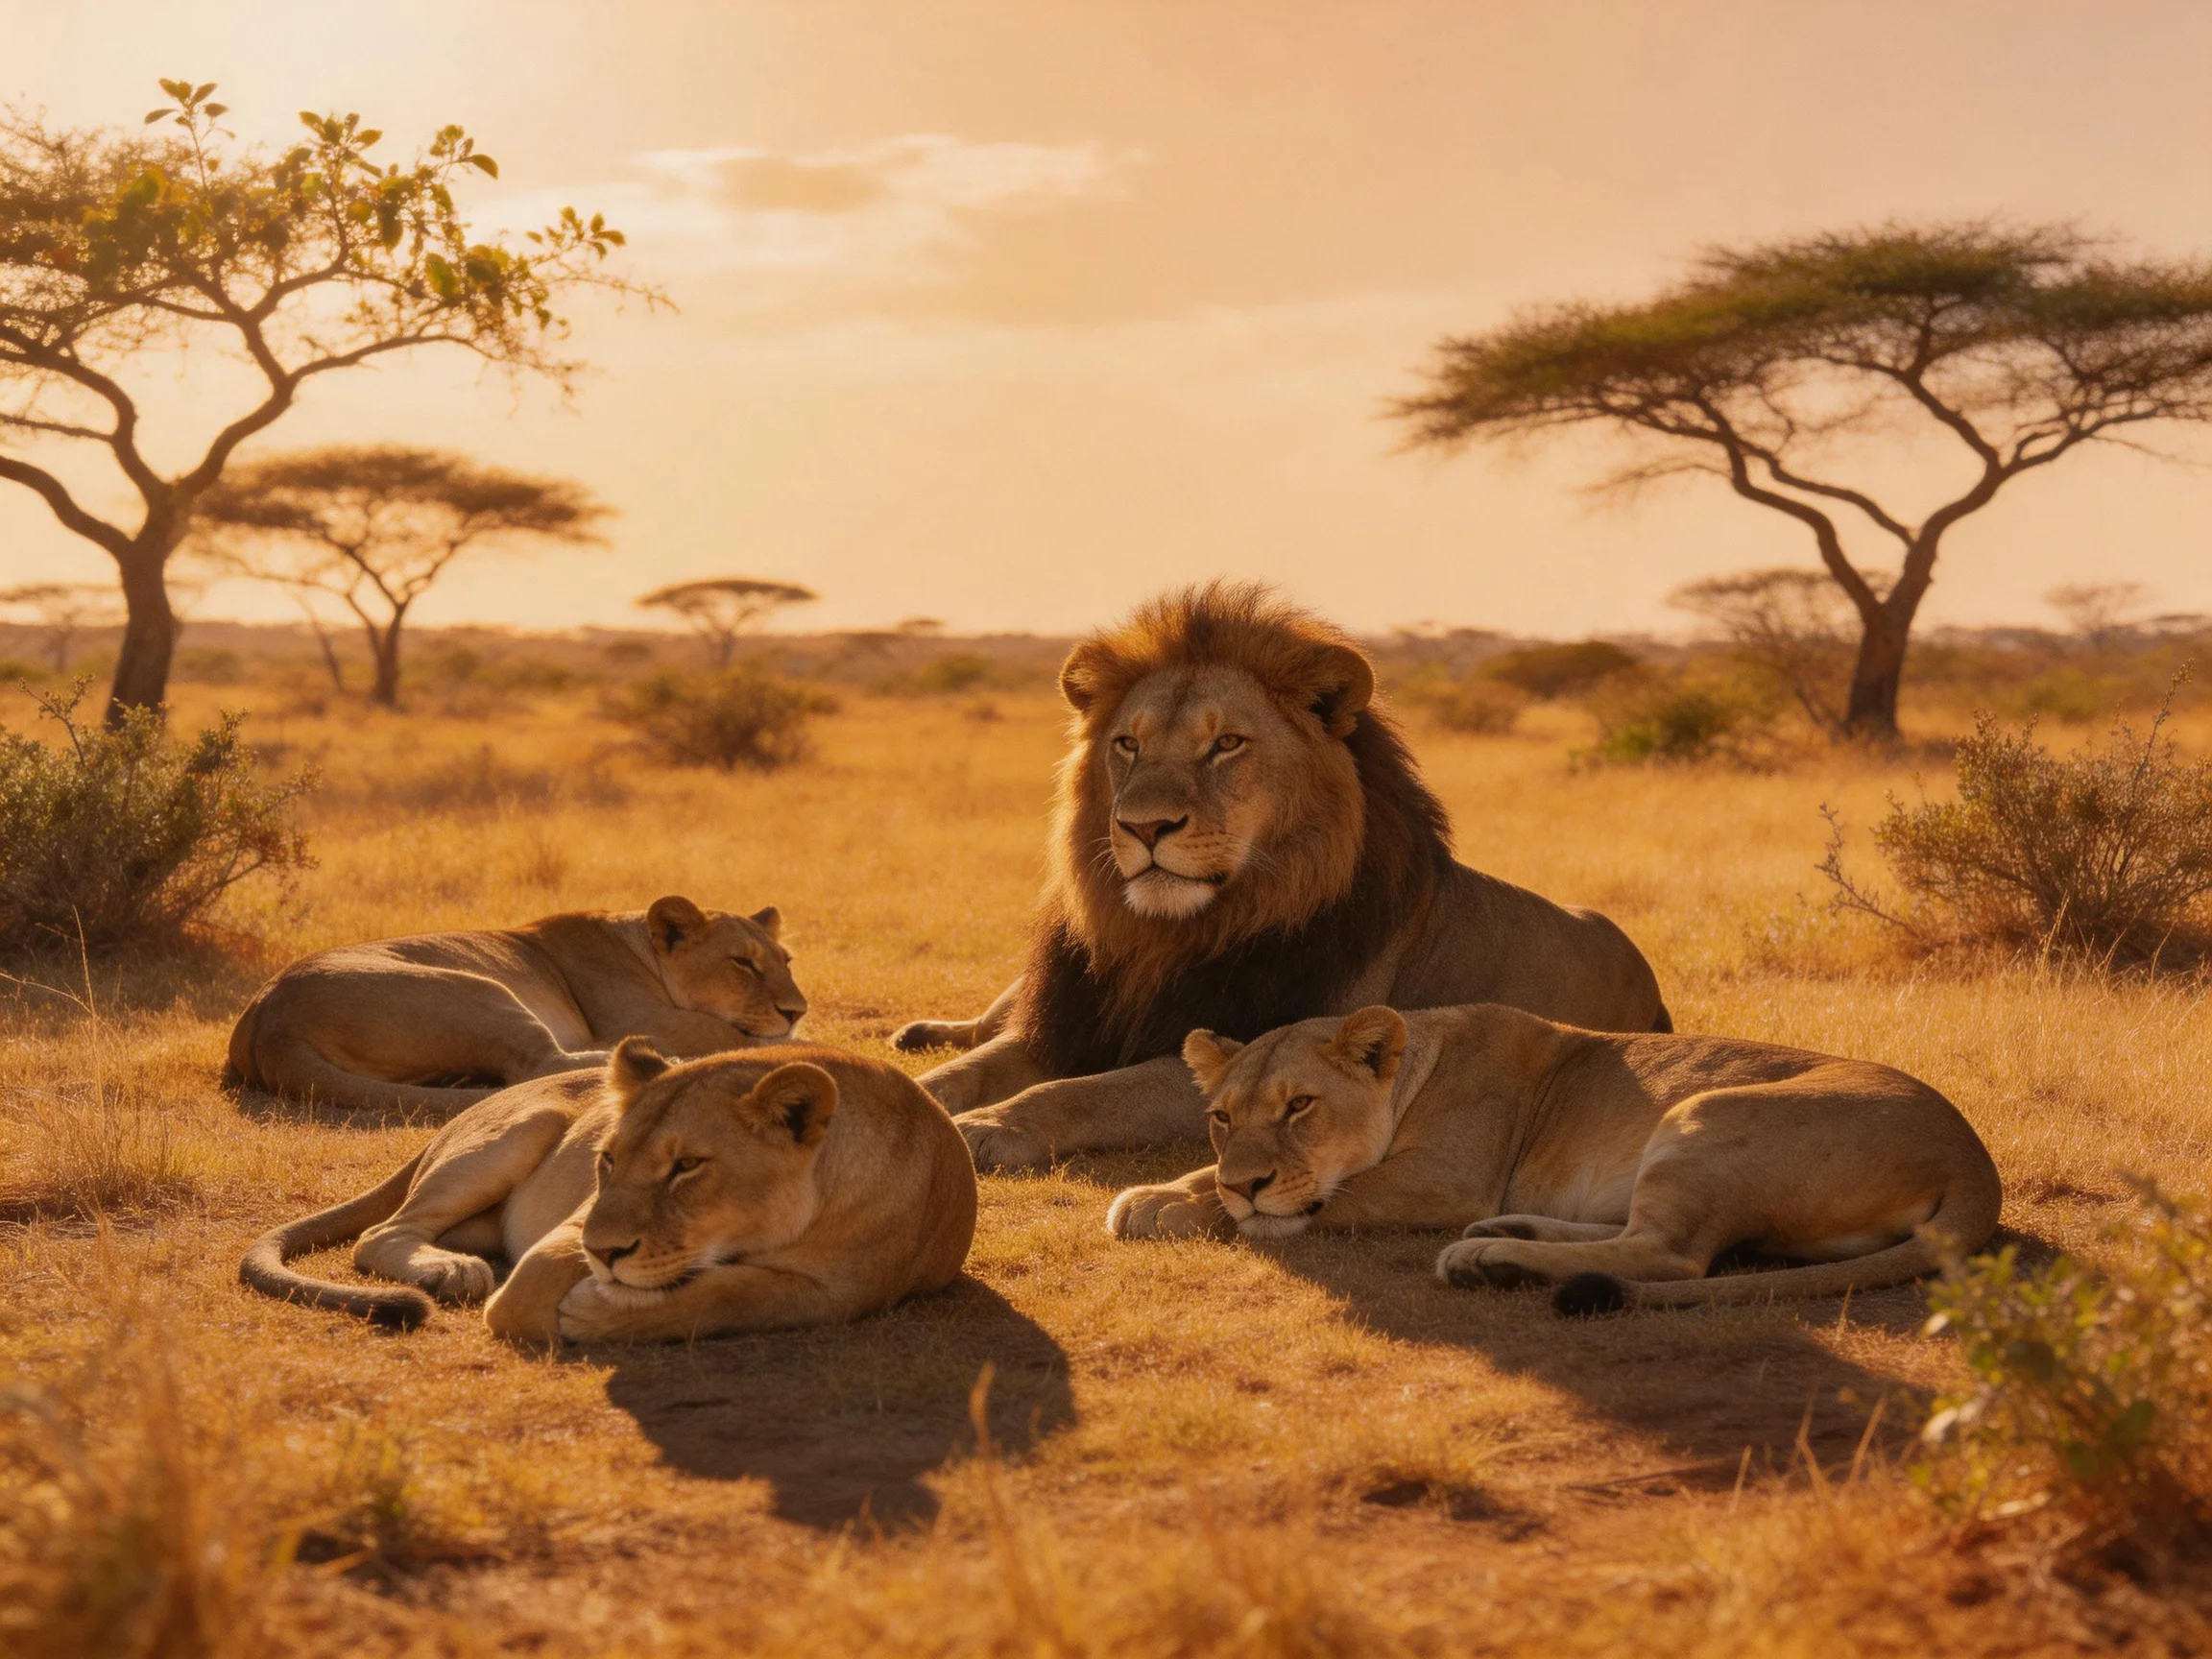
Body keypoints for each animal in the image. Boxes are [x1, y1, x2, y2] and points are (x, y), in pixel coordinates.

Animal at [226, 896, 806, 1116]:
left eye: (786, 960)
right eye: (743, 963)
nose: (797, 1009)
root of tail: (269, 1022)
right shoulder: (640, 1019)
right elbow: (724, 1033)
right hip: (480, 991)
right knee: (539, 1066)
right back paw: (667, 1063)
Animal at [238, 1038, 978, 1341]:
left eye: (687, 1167)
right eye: (607, 1162)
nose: (604, 1256)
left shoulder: (842, 1290)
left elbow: (741, 1298)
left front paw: (605, 1310)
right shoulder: (576, 1221)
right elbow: (541, 1274)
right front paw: (582, 1304)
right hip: (519, 1128)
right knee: (381, 1232)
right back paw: (450, 1270)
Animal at [893, 583, 1667, 1171]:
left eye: (1227, 744)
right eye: (1128, 744)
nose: (1143, 827)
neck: (1166, 940)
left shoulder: (1248, 1063)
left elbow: (1086, 1093)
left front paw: (988, 1127)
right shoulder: (1065, 1023)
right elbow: (966, 1069)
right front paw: (925, 1093)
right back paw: (920, 1031)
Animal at [1107, 1003, 2002, 1313]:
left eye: (1300, 1106)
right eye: (1221, 1117)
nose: (1247, 1180)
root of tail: (1975, 1164)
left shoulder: (1444, 1180)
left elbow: (1310, 1203)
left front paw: (1179, 1202)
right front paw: (1171, 1190)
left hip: (1703, 1111)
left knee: (1671, 1257)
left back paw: (1486, 1259)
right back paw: (1507, 1235)